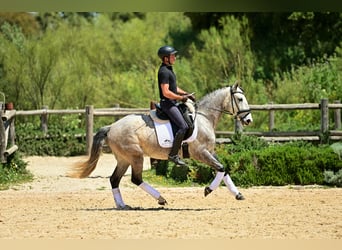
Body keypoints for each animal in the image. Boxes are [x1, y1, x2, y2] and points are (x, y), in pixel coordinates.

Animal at [68, 82, 252, 209]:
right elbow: (221, 168)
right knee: (136, 179)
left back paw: (122, 205)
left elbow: (224, 168)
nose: (249, 120)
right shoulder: (201, 153)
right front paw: (208, 190)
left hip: (123, 159)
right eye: (240, 99)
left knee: (114, 179)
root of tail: (112, 127)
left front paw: (238, 194)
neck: (204, 117)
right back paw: (161, 199)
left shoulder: (210, 151)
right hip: (135, 156)